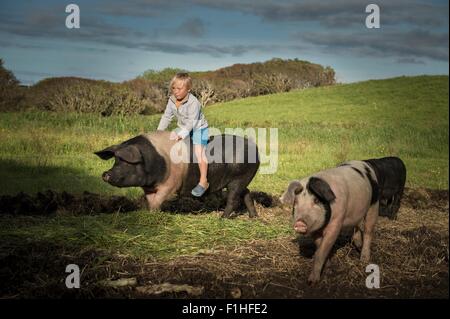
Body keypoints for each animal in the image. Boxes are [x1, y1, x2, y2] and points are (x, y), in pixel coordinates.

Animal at [94, 131, 260, 219]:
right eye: (115, 160)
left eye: (126, 161)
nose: (105, 174)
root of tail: (256, 149)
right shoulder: (149, 188)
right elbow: (151, 201)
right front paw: (150, 214)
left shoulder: (170, 184)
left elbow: (159, 200)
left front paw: (155, 215)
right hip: (243, 179)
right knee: (247, 193)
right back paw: (253, 217)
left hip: (238, 177)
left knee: (233, 199)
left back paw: (222, 218)